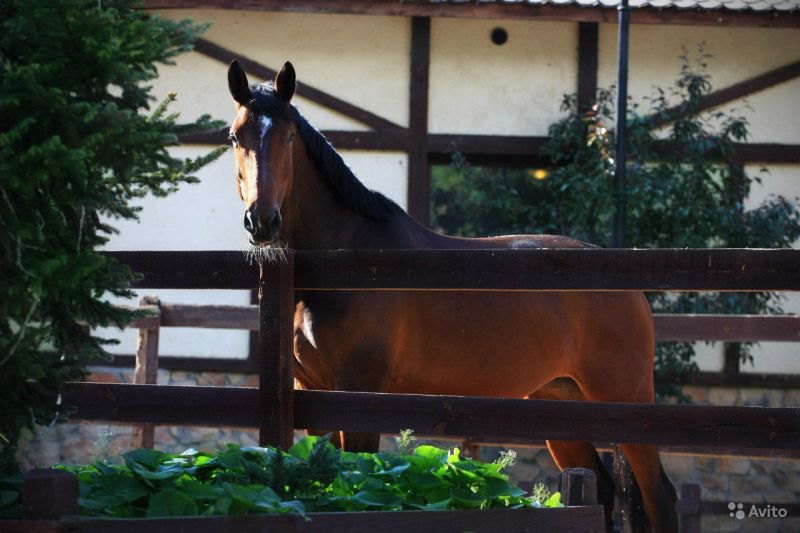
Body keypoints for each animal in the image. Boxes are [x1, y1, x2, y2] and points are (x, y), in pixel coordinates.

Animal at [228, 60, 680, 528]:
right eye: (235, 136)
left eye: (288, 136)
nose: (262, 220)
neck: (348, 261)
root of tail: (628, 286)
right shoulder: (313, 399)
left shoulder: (359, 399)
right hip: (562, 404)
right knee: (602, 492)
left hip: (625, 400)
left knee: (658, 495)